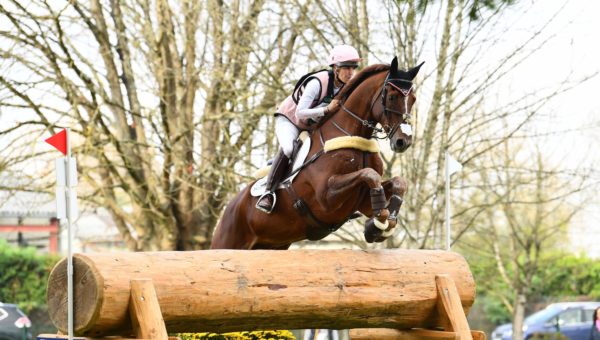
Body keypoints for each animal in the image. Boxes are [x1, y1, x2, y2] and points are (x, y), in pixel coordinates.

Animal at [211, 57, 422, 250]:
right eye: (392, 97)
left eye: (413, 99)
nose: (403, 141)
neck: (353, 136)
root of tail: (229, 208)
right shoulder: (326, 196)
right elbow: (369, 175)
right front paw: (376, 226)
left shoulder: (361, 200)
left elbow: (398, 183)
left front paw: (382, 224)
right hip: (227, 241)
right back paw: (265, 200)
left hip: (272, 245)